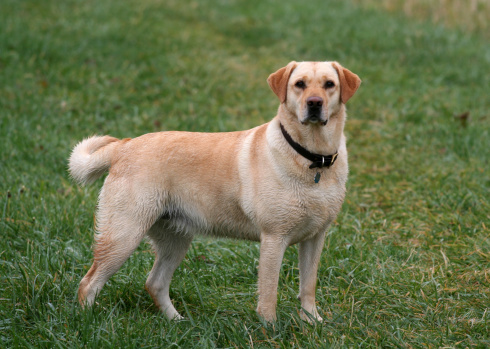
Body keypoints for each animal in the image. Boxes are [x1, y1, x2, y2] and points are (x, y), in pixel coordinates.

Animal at [69, 59, 360, 320]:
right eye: (300, 85)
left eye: (329, 84)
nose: (314, 103)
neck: (313, 159)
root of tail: (123, 146)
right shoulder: (273, 238)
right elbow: (269, 296)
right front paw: (270, 332)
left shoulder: (315, 238)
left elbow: (308, 286)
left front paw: (312, 324)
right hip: (123, 235)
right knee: (89, 283)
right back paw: (87, 323)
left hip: (175, 240)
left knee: (155, 283)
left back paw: (177, 321)